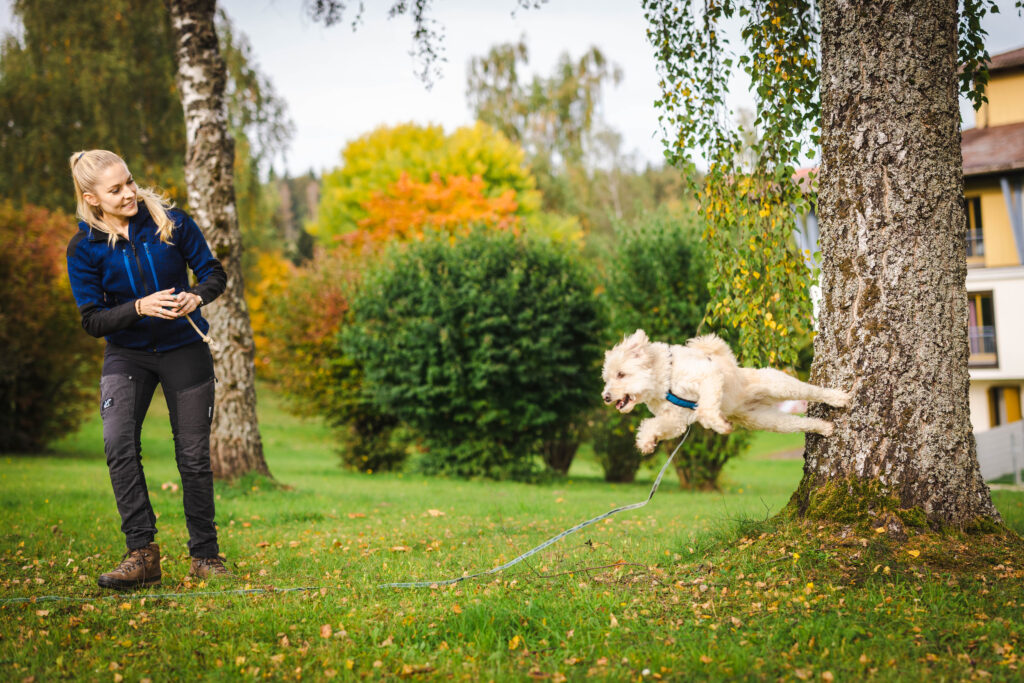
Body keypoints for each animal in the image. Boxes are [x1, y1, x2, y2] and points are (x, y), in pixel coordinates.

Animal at [598, 329, 847, 454]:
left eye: (621, 374)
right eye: (606, 378)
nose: (606, 397)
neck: (665, 378)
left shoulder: (708, 377)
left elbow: (706, 409)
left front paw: (718, 424)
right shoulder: (674, 418)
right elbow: (652, 425)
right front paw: (646, 442)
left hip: (780, 385)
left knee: (811, 390)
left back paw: (838, 398)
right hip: (768, 421)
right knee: (799, 423)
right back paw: (824, 428)